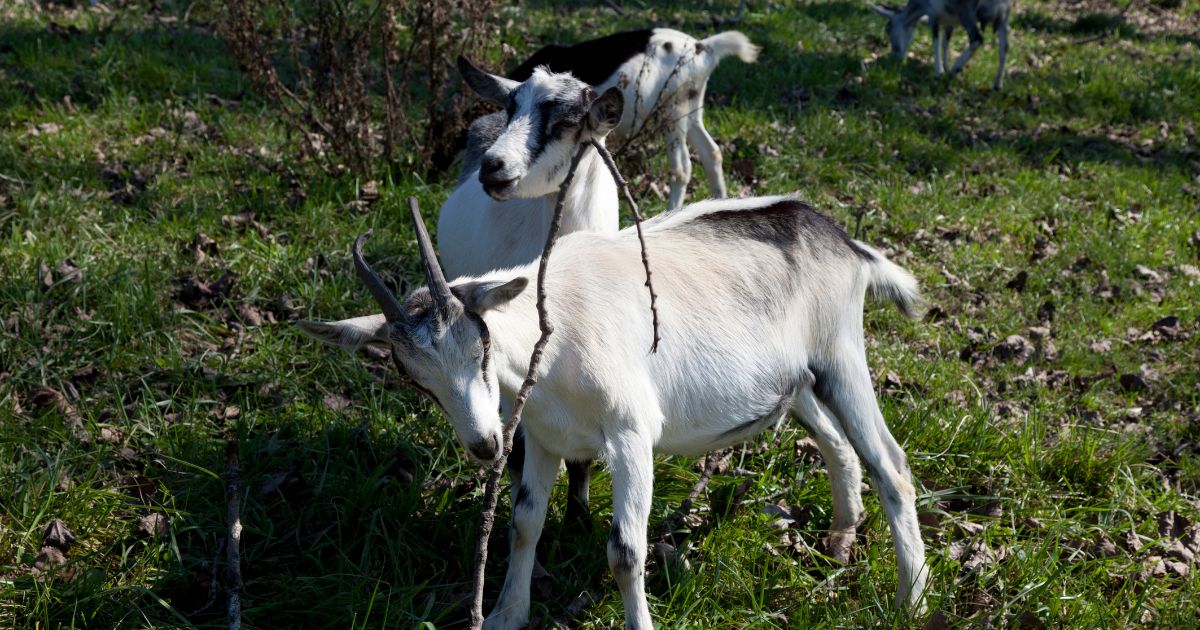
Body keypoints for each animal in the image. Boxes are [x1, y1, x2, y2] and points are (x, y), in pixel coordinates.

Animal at [297, 192, 926, 624]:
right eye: (414, 378)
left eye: (481, 345)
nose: (484, 445)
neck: (550, 339)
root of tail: (842, 241)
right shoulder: (544, 437)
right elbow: (523, 525)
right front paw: (506, 616)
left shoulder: (630, 435)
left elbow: (624, 551)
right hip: (798, 383)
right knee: (839, 444)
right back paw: (841, 540)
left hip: (840, 353)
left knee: (892, 466)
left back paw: (910, 600)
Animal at [460, 28, 758, 211]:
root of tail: (704, 48)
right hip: (691, 107)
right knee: (712, 151)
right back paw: (720, 201)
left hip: (672, 111)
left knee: (682, 167)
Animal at [873, 0, 1012, 89]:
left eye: (889, 29)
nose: (895, 57)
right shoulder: (950, 22)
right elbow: (946, 43)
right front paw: (945, 67)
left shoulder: (932, 14)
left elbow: (936, 41)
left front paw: (939, 70)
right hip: (1004, 17)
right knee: (1004, 49)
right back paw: (997, 84)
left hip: (967, 11)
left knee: (977, 38)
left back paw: (956, 68)